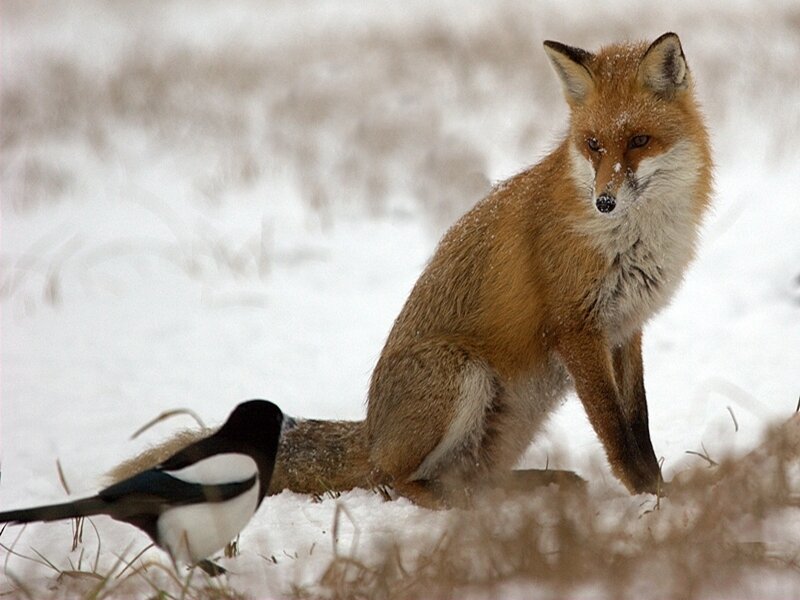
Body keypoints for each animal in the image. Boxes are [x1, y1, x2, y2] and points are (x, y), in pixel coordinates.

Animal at [109, 32, 712, 506]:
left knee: (472, 476)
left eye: (638, 141)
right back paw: (452, 503)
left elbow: (639, 425)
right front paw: (650, 503)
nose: (604, 202)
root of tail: (372, 433)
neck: (633, 240)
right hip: (462, 375)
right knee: (394, 482)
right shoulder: (578, 329)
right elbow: (617, 433)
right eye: (592, 145)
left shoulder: (625, 329)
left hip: (514, 414)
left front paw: (661, 493)